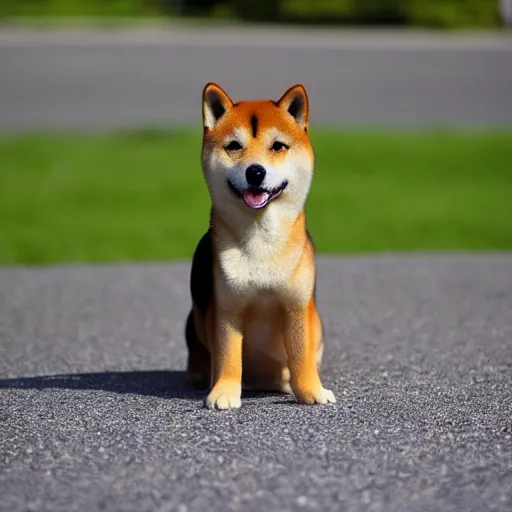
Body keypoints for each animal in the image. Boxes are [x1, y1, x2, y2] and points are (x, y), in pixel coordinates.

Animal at [185, 83, 336, 412]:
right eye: (233, 146)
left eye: (277, 146)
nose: (255, 172)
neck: (261, 240)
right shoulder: (227, 307)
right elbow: (228, 355)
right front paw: (224, 392)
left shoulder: (297, 306)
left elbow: (301, 356)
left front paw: (311, 391)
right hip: (196, 317)